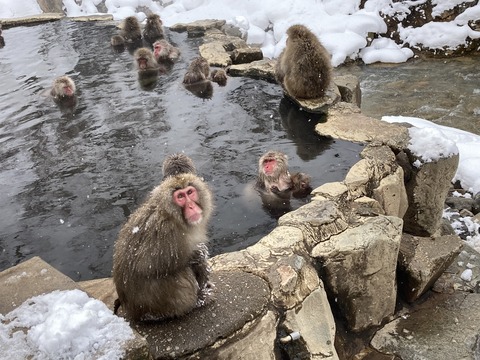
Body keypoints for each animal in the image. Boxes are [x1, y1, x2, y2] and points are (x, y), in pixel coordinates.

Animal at [113, 153, 214, 322]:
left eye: (190, 192)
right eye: (180, 196)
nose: (191, 206)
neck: (172, 215)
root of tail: (133, 312)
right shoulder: (165, 231)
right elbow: (147, 265)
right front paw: (197, 255)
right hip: (162, 303)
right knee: (180, 273)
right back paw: (196, 302)